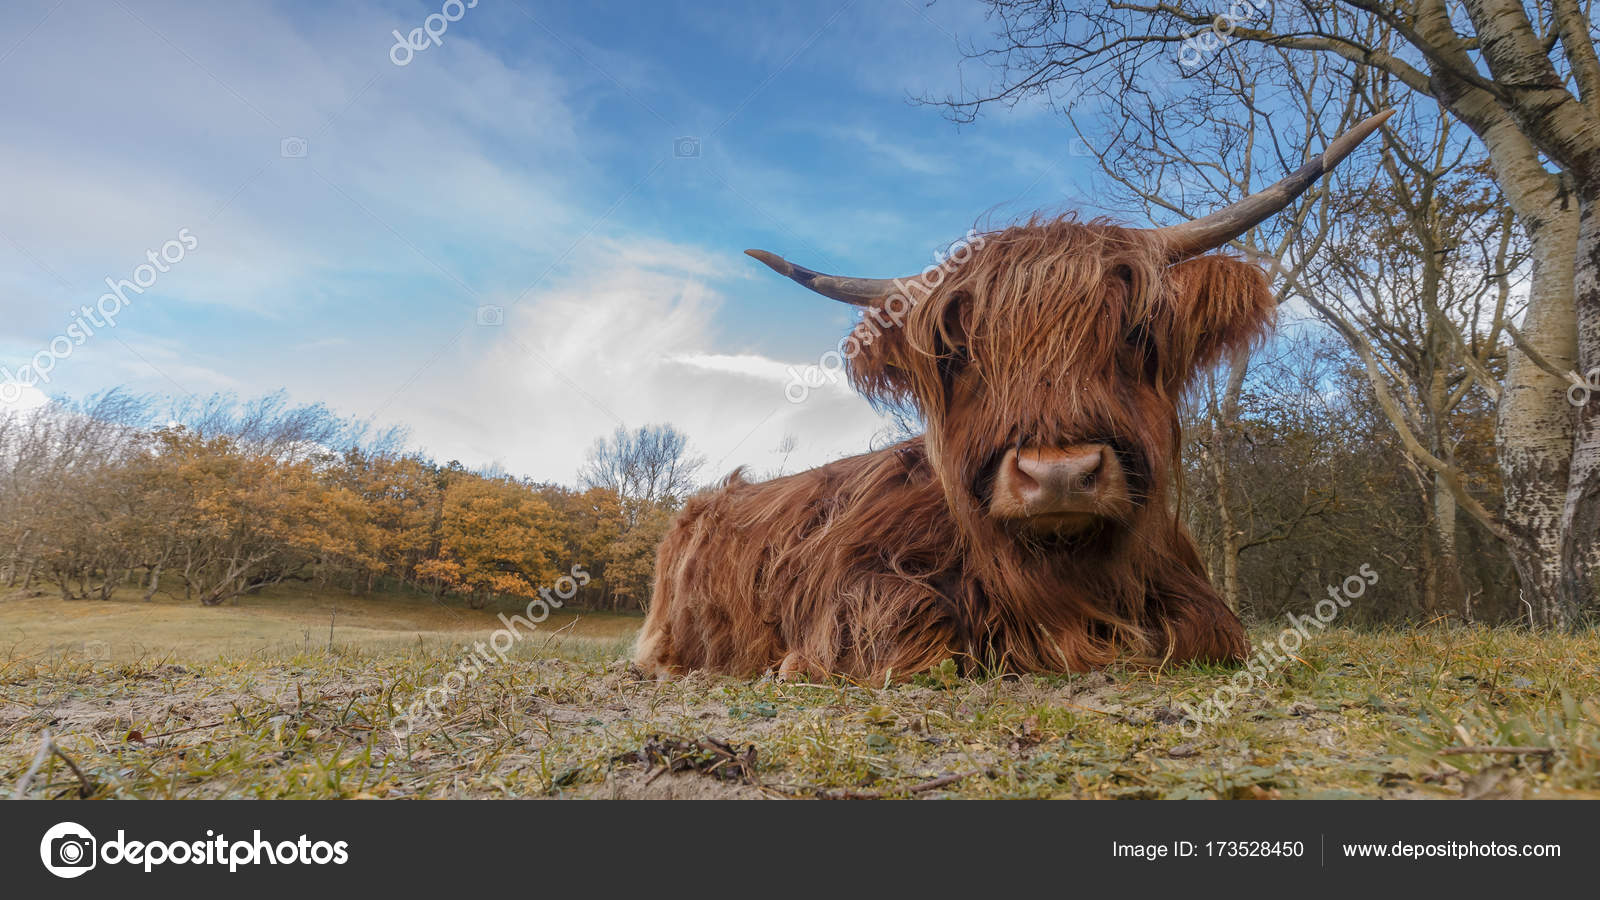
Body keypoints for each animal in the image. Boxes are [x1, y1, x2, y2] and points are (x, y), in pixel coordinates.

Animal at [635, 112, 1392, 682]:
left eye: (1136, 331)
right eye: (959, 353)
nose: (1058, 475)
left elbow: (1207, 628)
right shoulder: (848, 580)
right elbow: (906, 616)